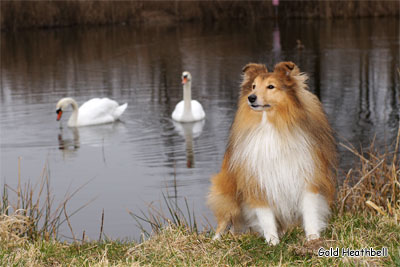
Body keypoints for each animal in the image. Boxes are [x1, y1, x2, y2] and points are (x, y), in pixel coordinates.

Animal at [208, 61, 336, 246]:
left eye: (271, 86)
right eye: (253, 86)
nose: (251, 98)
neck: (271, 125)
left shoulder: (307, 177)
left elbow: (310, 212)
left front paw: (313, 238)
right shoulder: (258, 182)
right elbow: (266, 217)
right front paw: (272, 242)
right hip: (228, 195)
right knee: (224, 220)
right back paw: (216, 240)